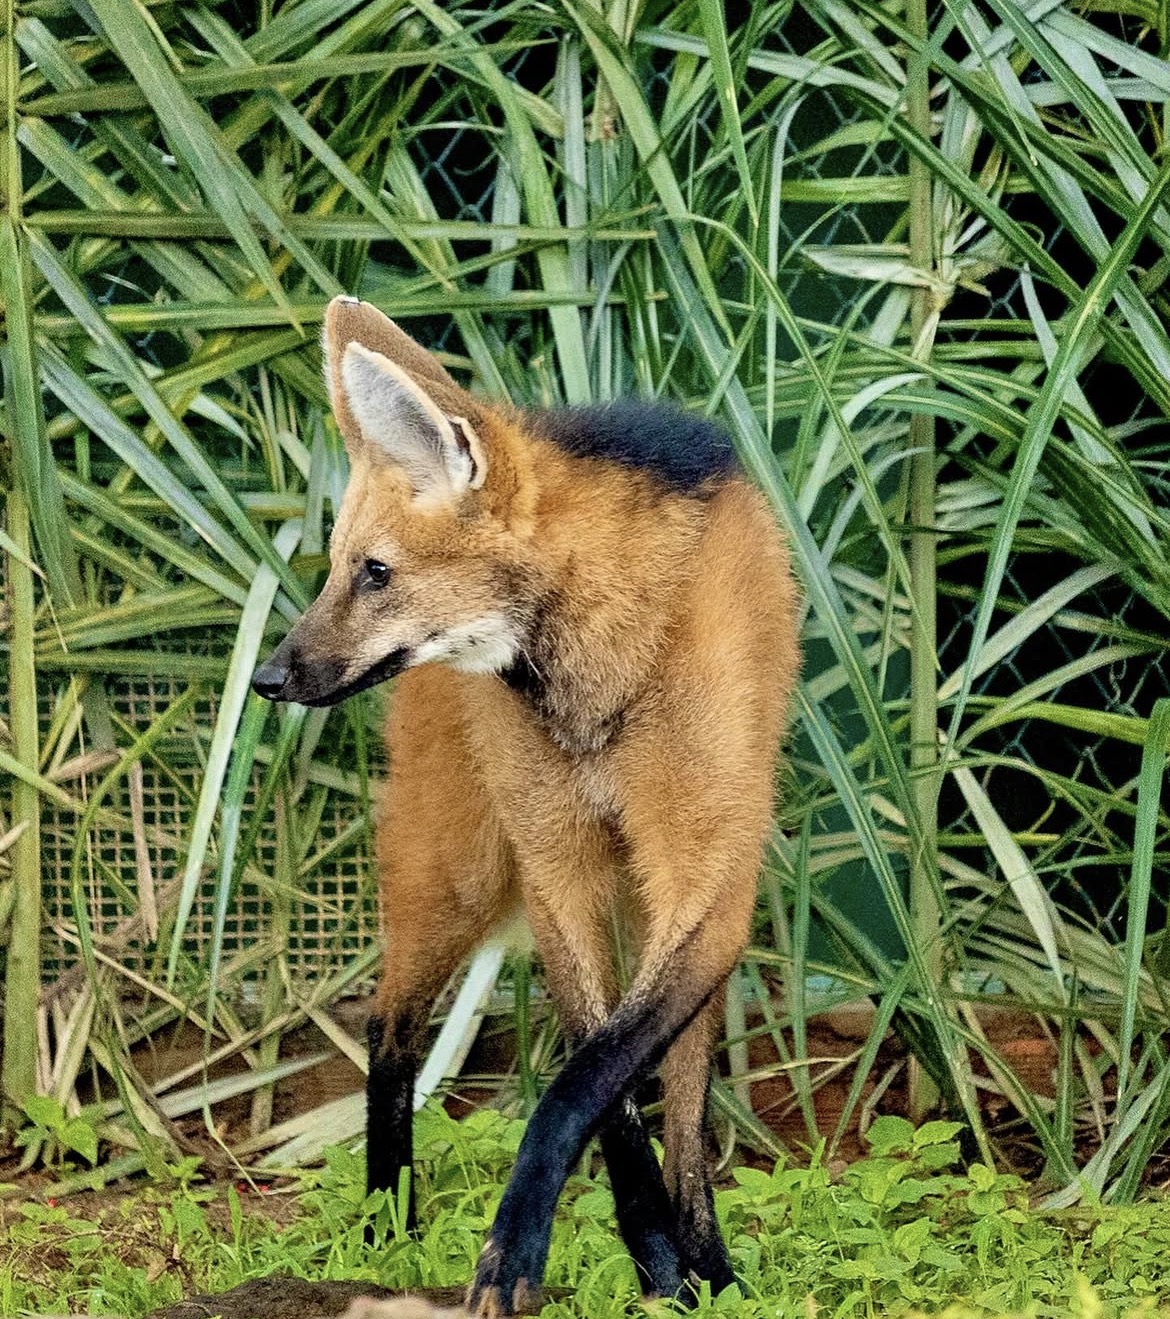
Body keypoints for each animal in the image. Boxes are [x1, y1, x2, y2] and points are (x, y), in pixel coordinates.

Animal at [252, 296, 801, 1317]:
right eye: (338, 568)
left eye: (376, 573)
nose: (271, 677)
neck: (596, 679)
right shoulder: (557, 869)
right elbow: (598, 1079)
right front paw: (638, 1260)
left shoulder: (706, 879)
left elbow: (597, 1080)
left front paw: (661, 1266)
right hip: (458, 869)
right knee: (389, 1025)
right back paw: (386, 1224)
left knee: (688, 1083)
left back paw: (710, 1257)